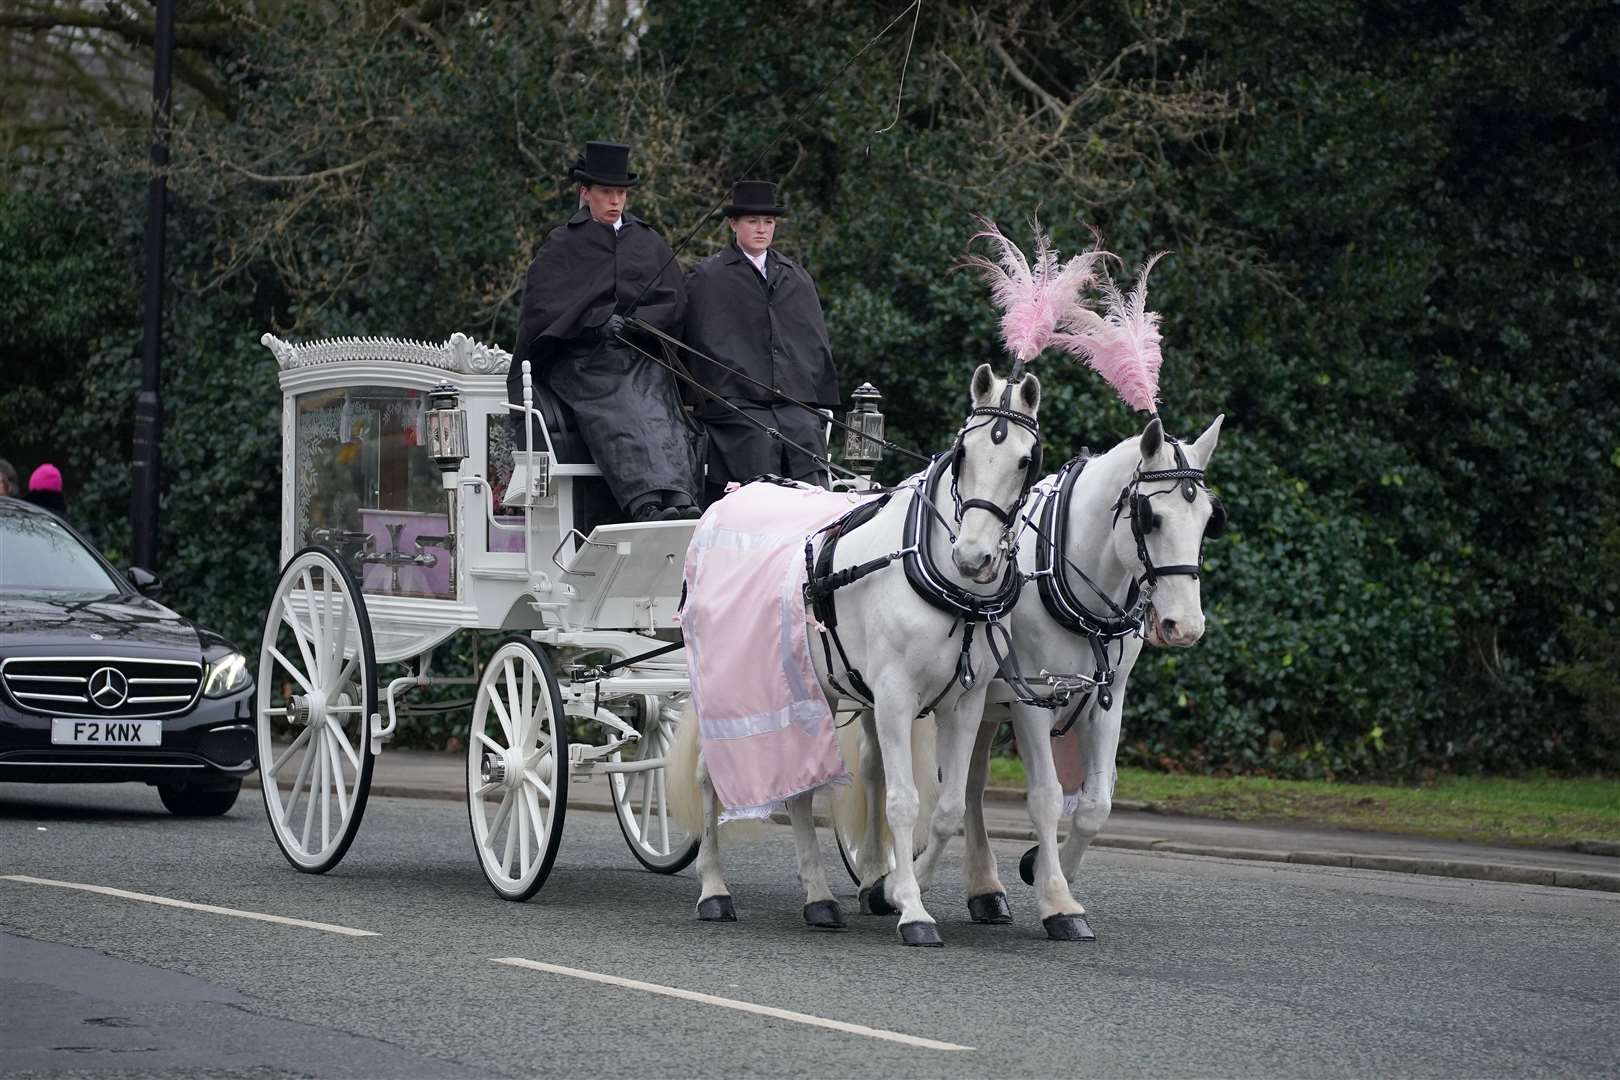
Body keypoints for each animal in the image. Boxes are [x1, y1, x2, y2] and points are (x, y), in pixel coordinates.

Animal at [667, 365, 1036, 945]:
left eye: (1025, 460)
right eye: (964, 453)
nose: (973, 557)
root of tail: (727, 498)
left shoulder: (965, 704)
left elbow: (948, 807)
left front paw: (897, 888)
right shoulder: (893, 698)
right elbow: (903, 801)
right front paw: (912, 910)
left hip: (804, 692)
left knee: (799, 789)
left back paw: (819, 898)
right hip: (726, 690)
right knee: (709, 777)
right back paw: (714, 889)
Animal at [855, 411, 1218, 939]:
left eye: (1210, 519)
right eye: (1152, 517)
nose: (1184, 626)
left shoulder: (1108, 700)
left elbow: (1095, 804)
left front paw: (1045, 868)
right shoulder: (1031, 702)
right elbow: (1046, 797)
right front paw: (1058, 902)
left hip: (979, 708)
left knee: (970, 786)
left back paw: (984, 890)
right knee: (873, 770)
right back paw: (875, 876)